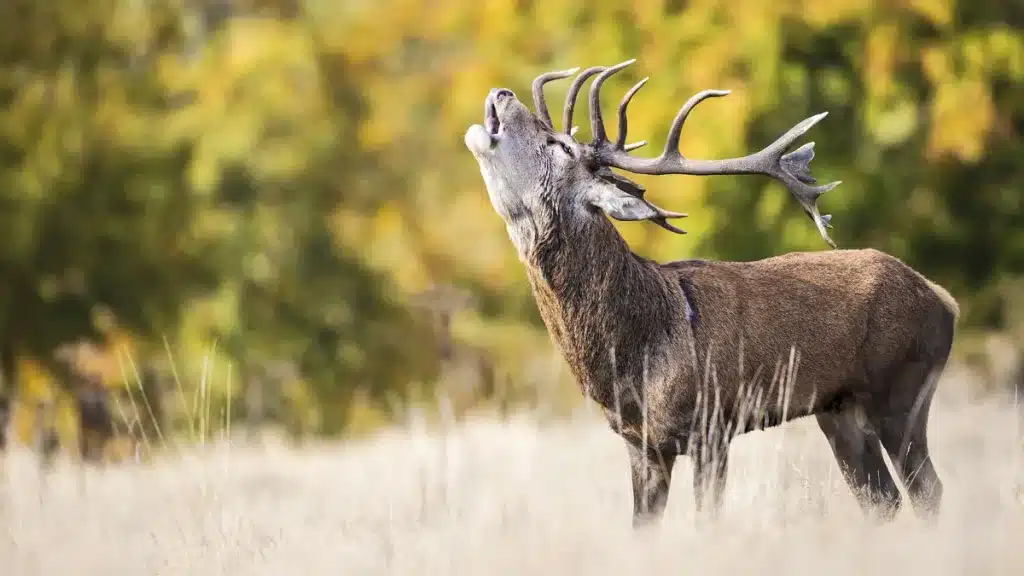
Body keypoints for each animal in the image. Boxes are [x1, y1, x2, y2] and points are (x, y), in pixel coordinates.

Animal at [464, 60, 958, 522]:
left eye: (560, 145)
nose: (503, 92)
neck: (636, 353)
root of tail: (944, 299)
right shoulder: (642, 444)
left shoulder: (713, 424)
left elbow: (708, 521)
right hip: (839, 411)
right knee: (883, 499)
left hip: (902, 390)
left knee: (929, 491)